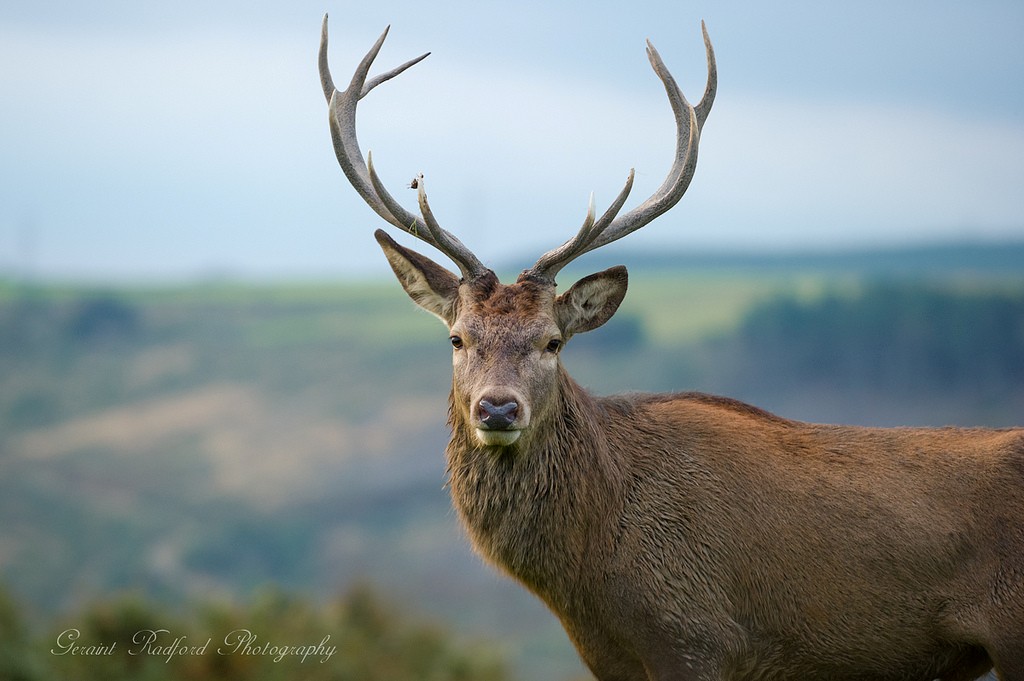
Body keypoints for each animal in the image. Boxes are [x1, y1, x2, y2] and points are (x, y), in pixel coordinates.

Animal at [317, 11, 1024, 679]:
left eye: (553, 343)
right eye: (458, 337)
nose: (497, 408)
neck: (593, 578)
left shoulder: (696, 637)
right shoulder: (612, 659)